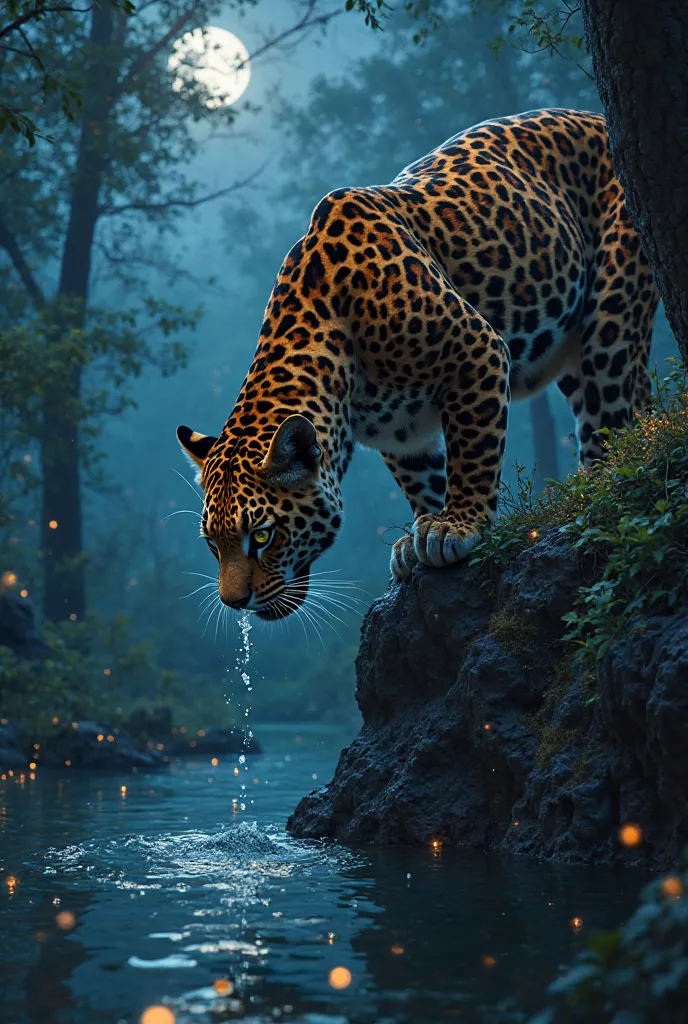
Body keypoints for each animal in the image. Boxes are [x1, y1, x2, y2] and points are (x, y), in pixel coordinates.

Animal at [179, 108, 659, 618]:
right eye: (212, 543)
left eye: (263, 535)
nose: (234, 602)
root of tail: (596, 115)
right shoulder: (400, 431)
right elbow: (420, 479)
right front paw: (419, 534)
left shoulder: (477, 350)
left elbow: (473, 453)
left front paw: (458, 526)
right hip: (572, 354)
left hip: (609, 317)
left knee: (608, 422)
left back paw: (592, 488)